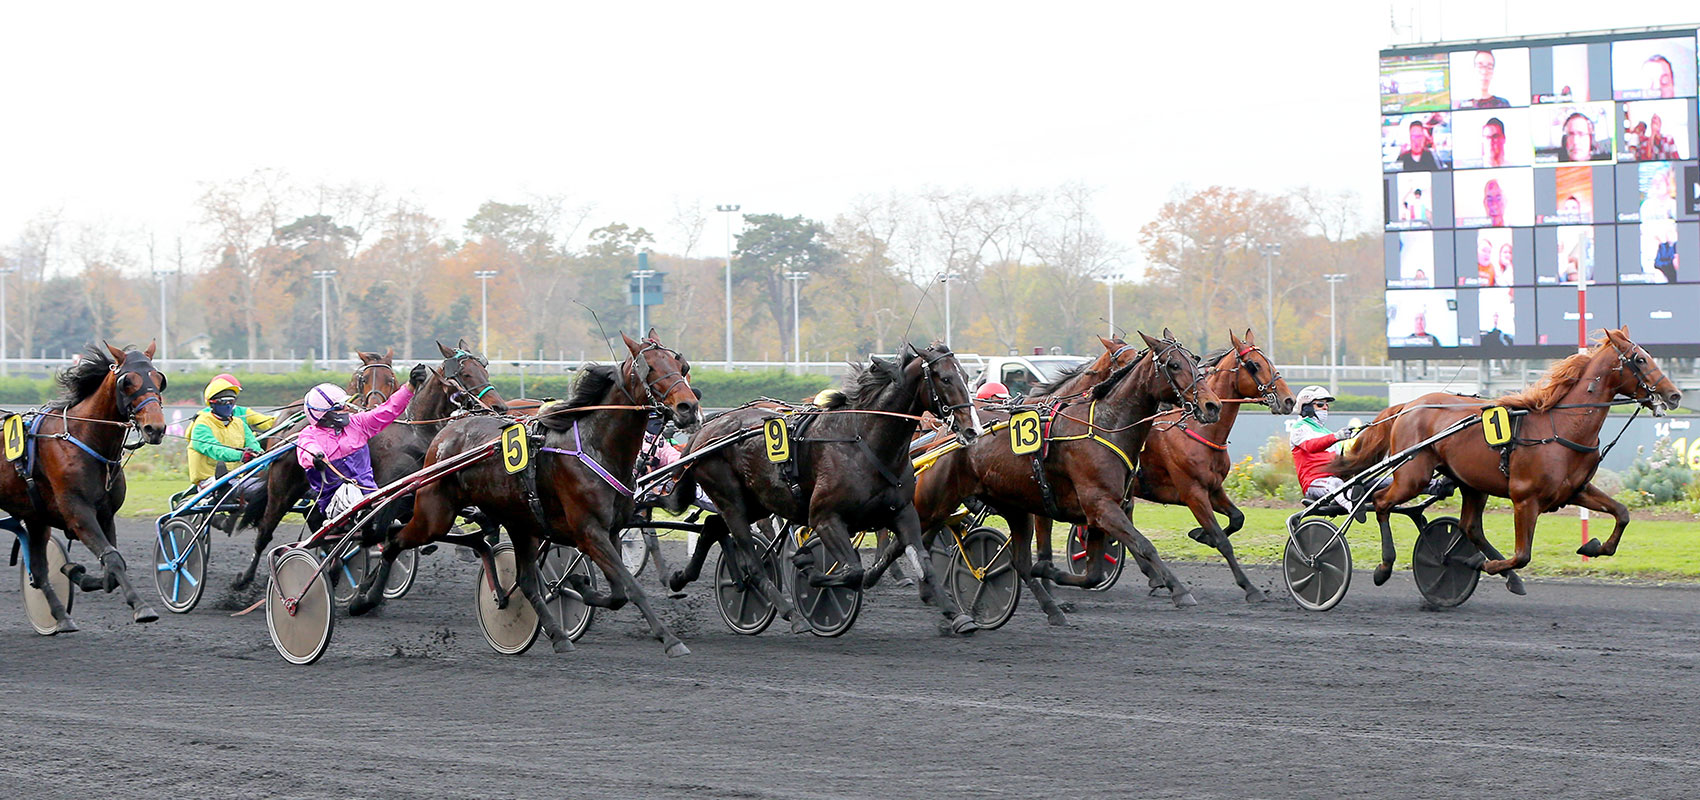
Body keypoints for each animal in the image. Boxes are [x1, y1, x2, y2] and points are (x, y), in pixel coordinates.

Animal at [2, 344, 169, 631]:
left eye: (159, 379)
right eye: (127, 381)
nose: (154, 428)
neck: (84, 438)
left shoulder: (105, 514)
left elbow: (112, 564)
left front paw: (75, 572)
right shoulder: (78, 512)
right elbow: (112, 558)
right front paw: (142, 607)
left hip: (34, 518)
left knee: (39, 571)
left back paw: (61, 617)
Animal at [231, 338, 503, 587]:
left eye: (485, 370)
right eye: (466, 373)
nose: (498, 406)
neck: (416, 432)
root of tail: (292, 433)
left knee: (321, 525)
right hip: (282, 489)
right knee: (266, 530)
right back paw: (245, 579)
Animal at [355, 331, 700, 659]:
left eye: (680, 365)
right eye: (650, 367)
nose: (689, 407)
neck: (596, 446)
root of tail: (445, 432)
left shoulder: (611, 530)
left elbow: (617, 592)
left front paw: (579, 585)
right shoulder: (589, 530)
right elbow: (631, 587)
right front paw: (671, 640)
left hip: (520, 522)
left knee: (523, 580)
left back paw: (557, 635)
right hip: (434, 514)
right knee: (394, 539)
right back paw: (364, 599)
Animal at [663, 344, 986, 638]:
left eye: (965, 375)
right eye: (945, 378)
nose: (973, 429)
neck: (864, 441)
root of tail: (704, 432)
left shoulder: (903, 513)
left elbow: (925, 564)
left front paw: (957, 615)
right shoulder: (825, 518)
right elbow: (852, 571)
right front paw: (807, 568)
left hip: (757, 500)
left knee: (712, 525)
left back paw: (680, 578)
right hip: (731, 500)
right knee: (752, 563)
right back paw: (791, 614)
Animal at [1332, 329, 1679, 584]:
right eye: (1640, 359)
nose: (1674, 395)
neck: (1562, 426)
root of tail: (1409, 405)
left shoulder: (1575, 491)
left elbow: (1622, 513)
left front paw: (1594, 547)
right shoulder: (1525, 500)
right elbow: (1523, 555)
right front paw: (1483, 565)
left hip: (1471, 483)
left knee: (1469, 526)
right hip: (1413, 476)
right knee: (1381, 503)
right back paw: (1384, 566)